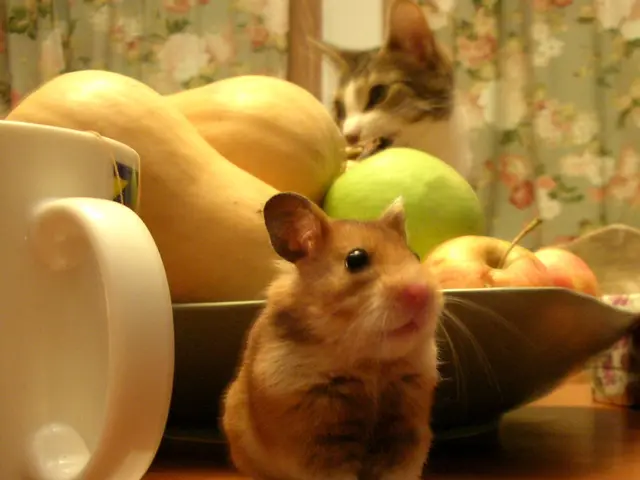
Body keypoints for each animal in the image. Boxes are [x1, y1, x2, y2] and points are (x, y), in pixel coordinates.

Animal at [221, 192, 442, 480]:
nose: (422, 293)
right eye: (356, 259)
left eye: (416, 255)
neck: (370, 363)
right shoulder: (317, 441)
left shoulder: (405, 432)